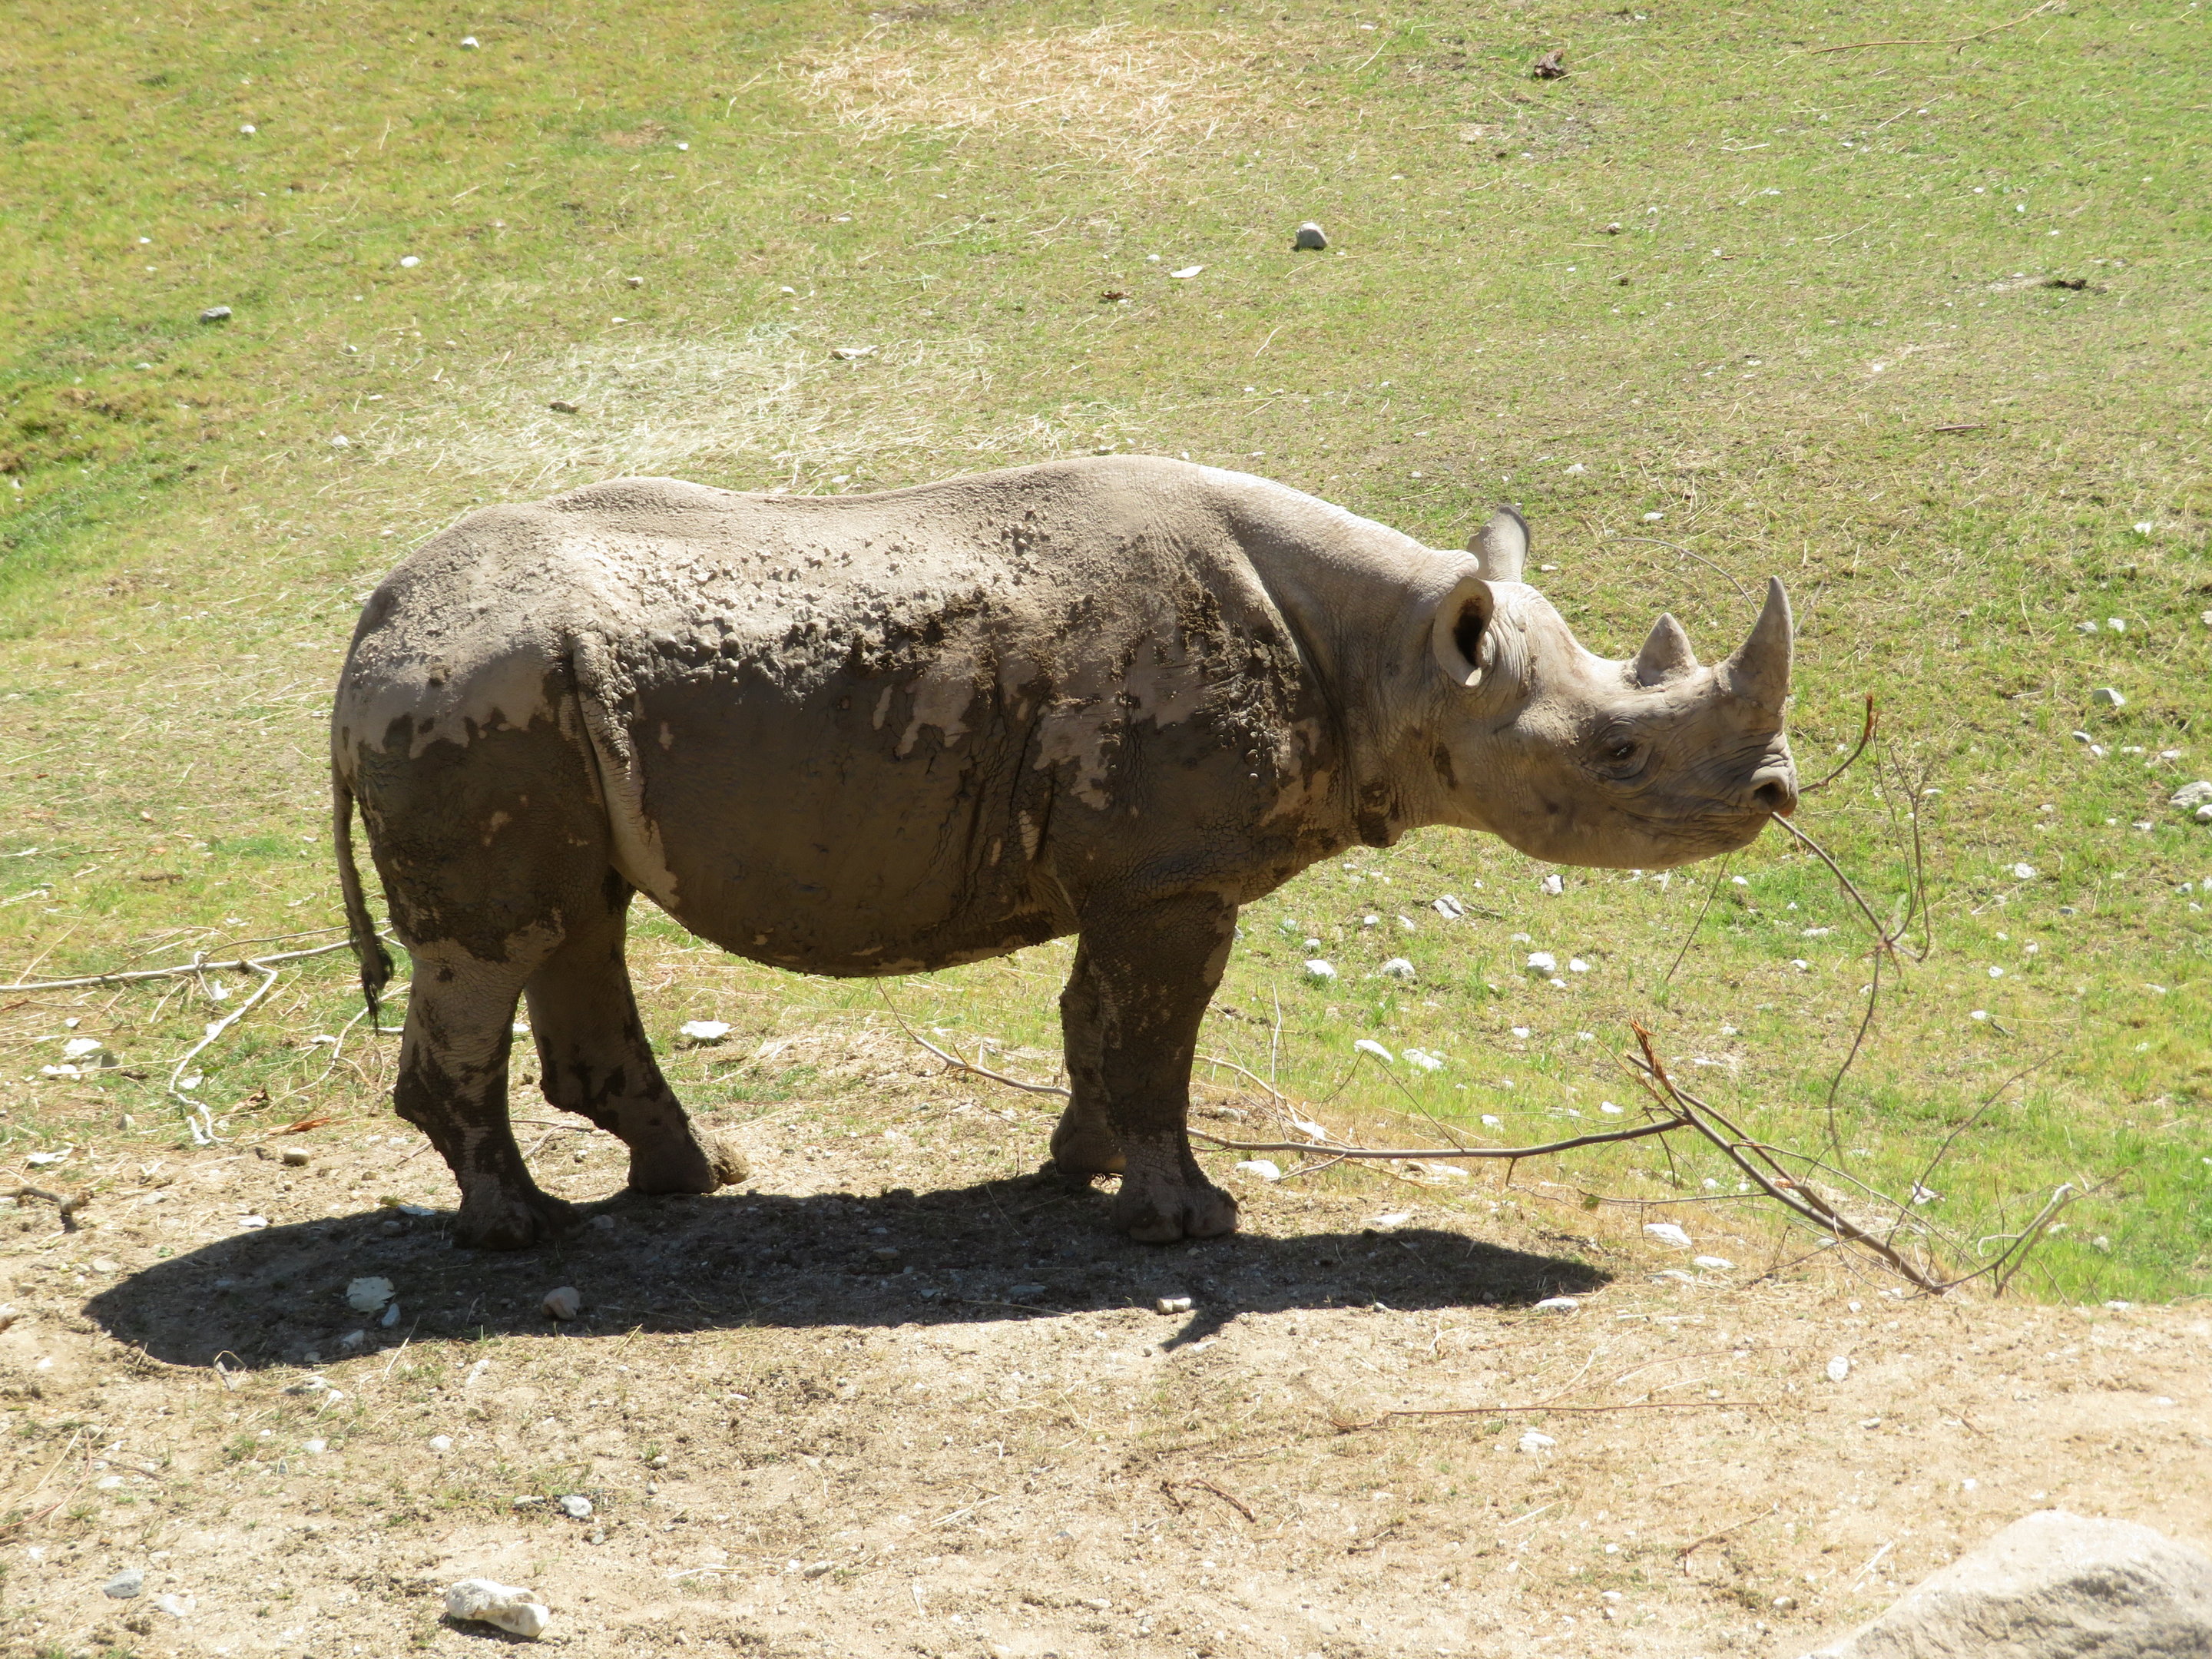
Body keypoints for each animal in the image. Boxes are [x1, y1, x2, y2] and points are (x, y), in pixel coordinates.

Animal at [332, 457, 1797, 1249]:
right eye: (1619, 756)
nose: (1779, 792)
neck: (1396, 653)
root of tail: (361, 639)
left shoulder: (1136, 872)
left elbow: (1098, 1021)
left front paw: (1077, 1168)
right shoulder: (1175, 872)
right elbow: (1155, 1041)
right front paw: (1188, 1218)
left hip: (512, 702)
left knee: (577, 919)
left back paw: (696, 1179)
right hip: (464, 697)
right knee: (495, 947)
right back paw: (522, 1233)